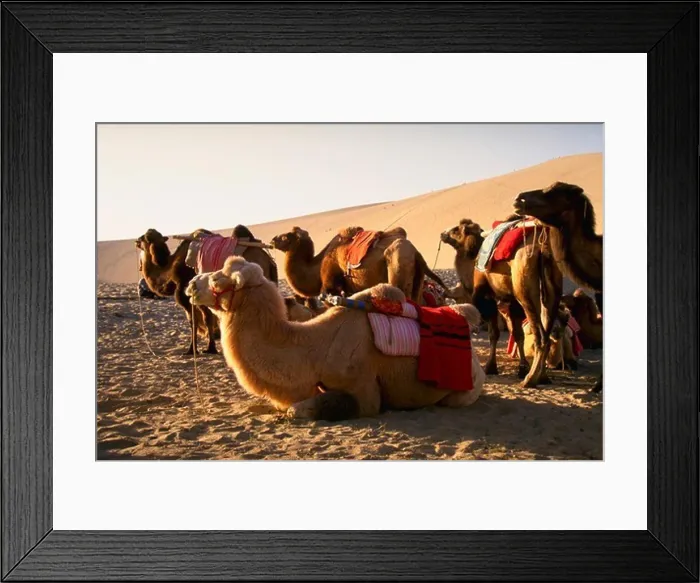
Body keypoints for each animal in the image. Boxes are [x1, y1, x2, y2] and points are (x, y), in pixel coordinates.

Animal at [186, 256, 485, 421]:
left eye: (218, 281)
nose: (191, 284)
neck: (312, 352)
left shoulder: (364, 393)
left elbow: (299, 409)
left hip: (463, 392)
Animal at [270, 226, 448, 304]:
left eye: (286, 236)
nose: (272, 239)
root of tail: (416, 253)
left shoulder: (330, 286)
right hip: (418, 280)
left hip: (398, 263)